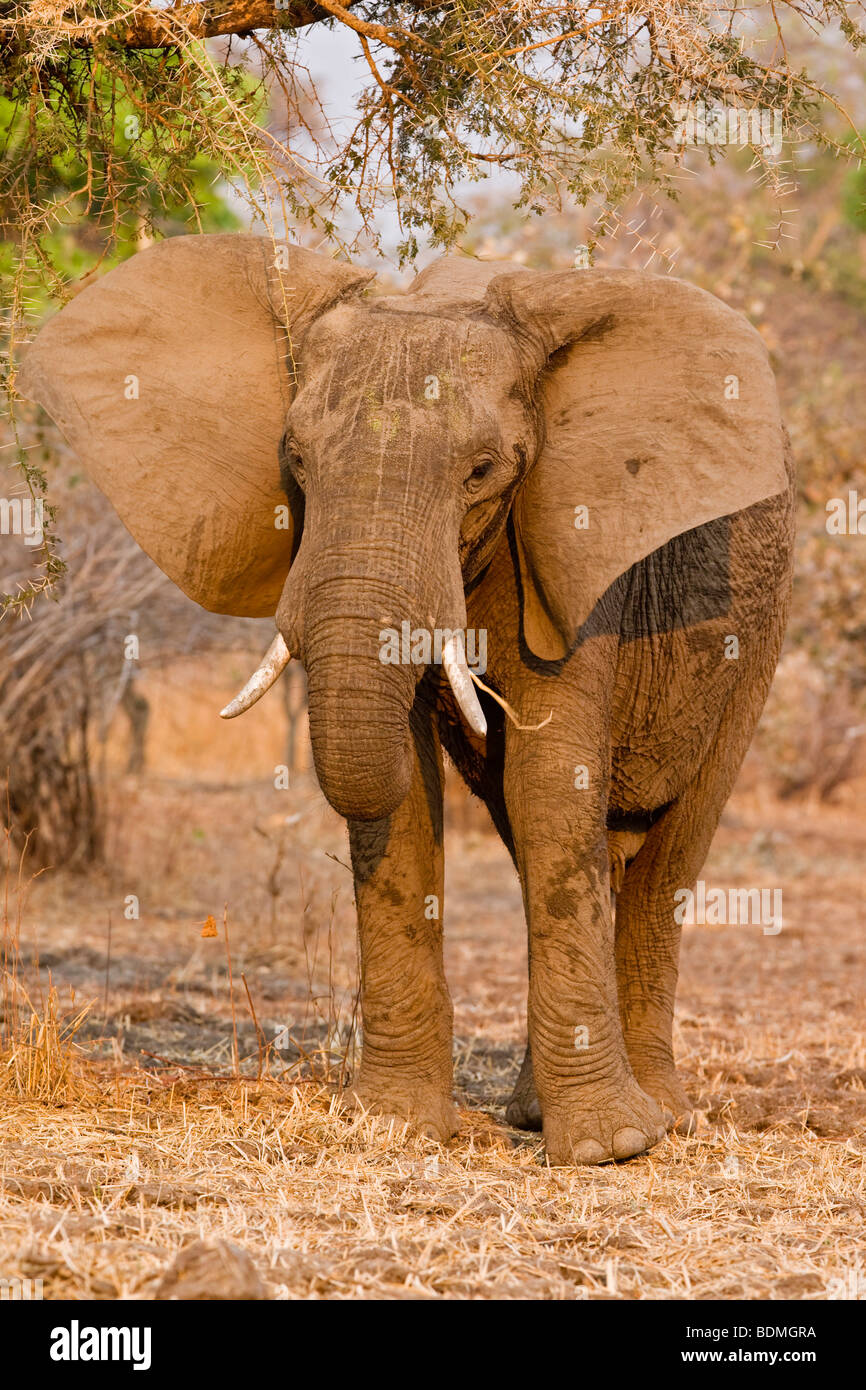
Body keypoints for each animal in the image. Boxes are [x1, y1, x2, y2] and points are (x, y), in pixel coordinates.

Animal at [18, 236, 795, 1162]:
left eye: (482, 471)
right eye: (296, 460)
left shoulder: (576, 550)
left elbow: (549, 784)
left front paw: (605, 1151)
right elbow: (413, 794)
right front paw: (394, 1124)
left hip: (759, 631)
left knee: (667, 853)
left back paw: (661, 1119)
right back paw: (540, 1111)